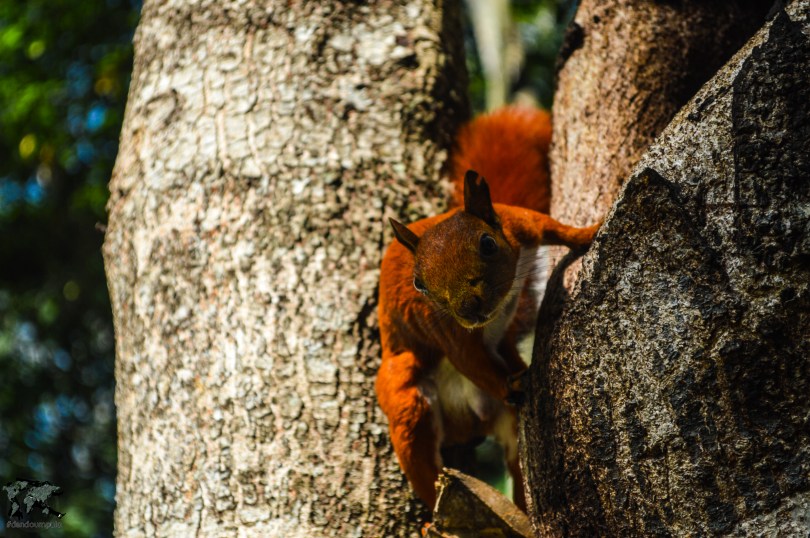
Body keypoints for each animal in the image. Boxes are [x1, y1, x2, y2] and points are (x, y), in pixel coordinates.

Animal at [376, 106, 600, 509]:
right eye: (419, 284)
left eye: (487, 244)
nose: (469, 308)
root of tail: (470, 423)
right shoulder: (445, 328)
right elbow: (470, 360)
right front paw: (512, 384)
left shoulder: (521, 222)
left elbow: (559, 229)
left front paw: (590, 230)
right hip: (406, 396)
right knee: (420, 452)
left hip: (508, 425)